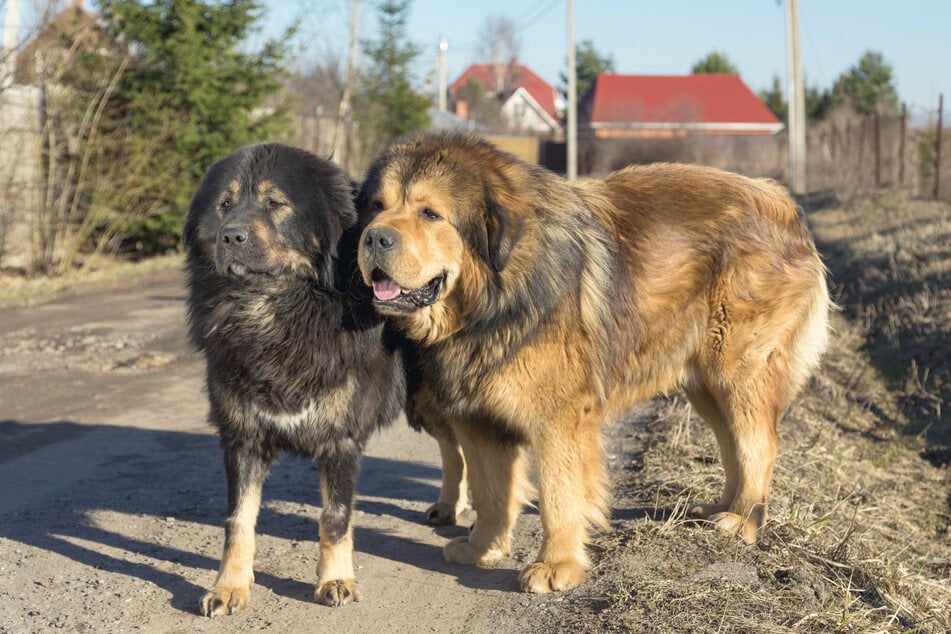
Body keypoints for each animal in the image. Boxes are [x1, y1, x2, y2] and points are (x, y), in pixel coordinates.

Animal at [184, 142, 408, 612]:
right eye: (225, 204)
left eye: (275, 204)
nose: (231, 236)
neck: (270, 311)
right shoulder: (242, 436)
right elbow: (239, 521)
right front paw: (229, 586)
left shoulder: (341, 438)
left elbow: (335, 516)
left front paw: (336, 579)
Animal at [356, 132, 832, 592]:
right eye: (377, 207)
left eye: (430, 214)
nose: (374, 237)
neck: (493, 302)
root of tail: (781, 200)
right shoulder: (477, 419)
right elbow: (489, 490)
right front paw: (482, 548)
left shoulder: (557, 418)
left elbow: (558, 493)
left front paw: (557, 566)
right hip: (704, 382)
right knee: (732, 444)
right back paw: (720, 507)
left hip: (738, 371)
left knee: (758, 445)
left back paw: (743, 520)